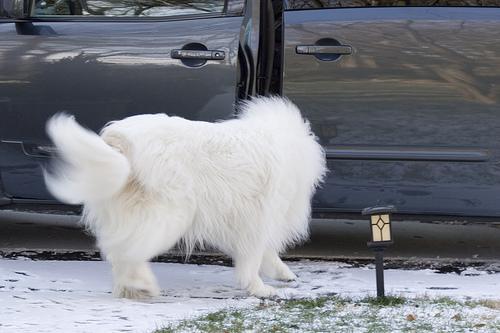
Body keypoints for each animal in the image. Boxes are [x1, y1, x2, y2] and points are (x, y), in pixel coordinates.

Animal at [45, 96, 326, 298]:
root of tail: (120, 140)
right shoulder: (259, 217)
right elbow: (255, 255)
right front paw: (259, 288)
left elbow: (266, 252)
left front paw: (283, 273)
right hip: (168, 213)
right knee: (130, 250)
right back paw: (143, 285)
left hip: (130, 210)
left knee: (121, 251)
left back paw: (131, 288)